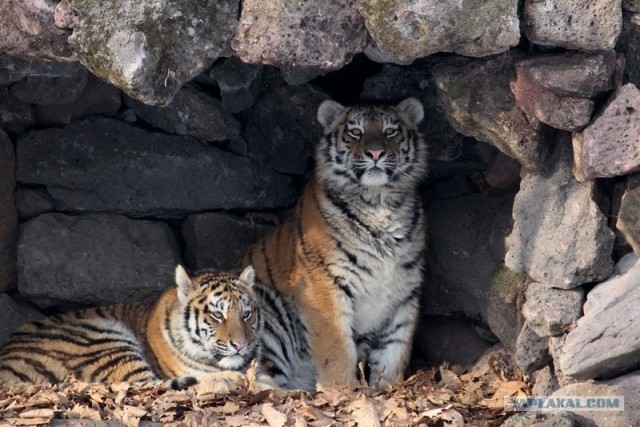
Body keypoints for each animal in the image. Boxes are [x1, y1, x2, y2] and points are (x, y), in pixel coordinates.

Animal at [248, 97, 428, 392]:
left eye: (390, 131)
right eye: (355, 132)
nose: (375, 152)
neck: (378, 201)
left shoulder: (405, 290)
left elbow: (395, 348)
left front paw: (386, 389)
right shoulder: (323, 282)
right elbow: (336, 347)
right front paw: (344, 391)